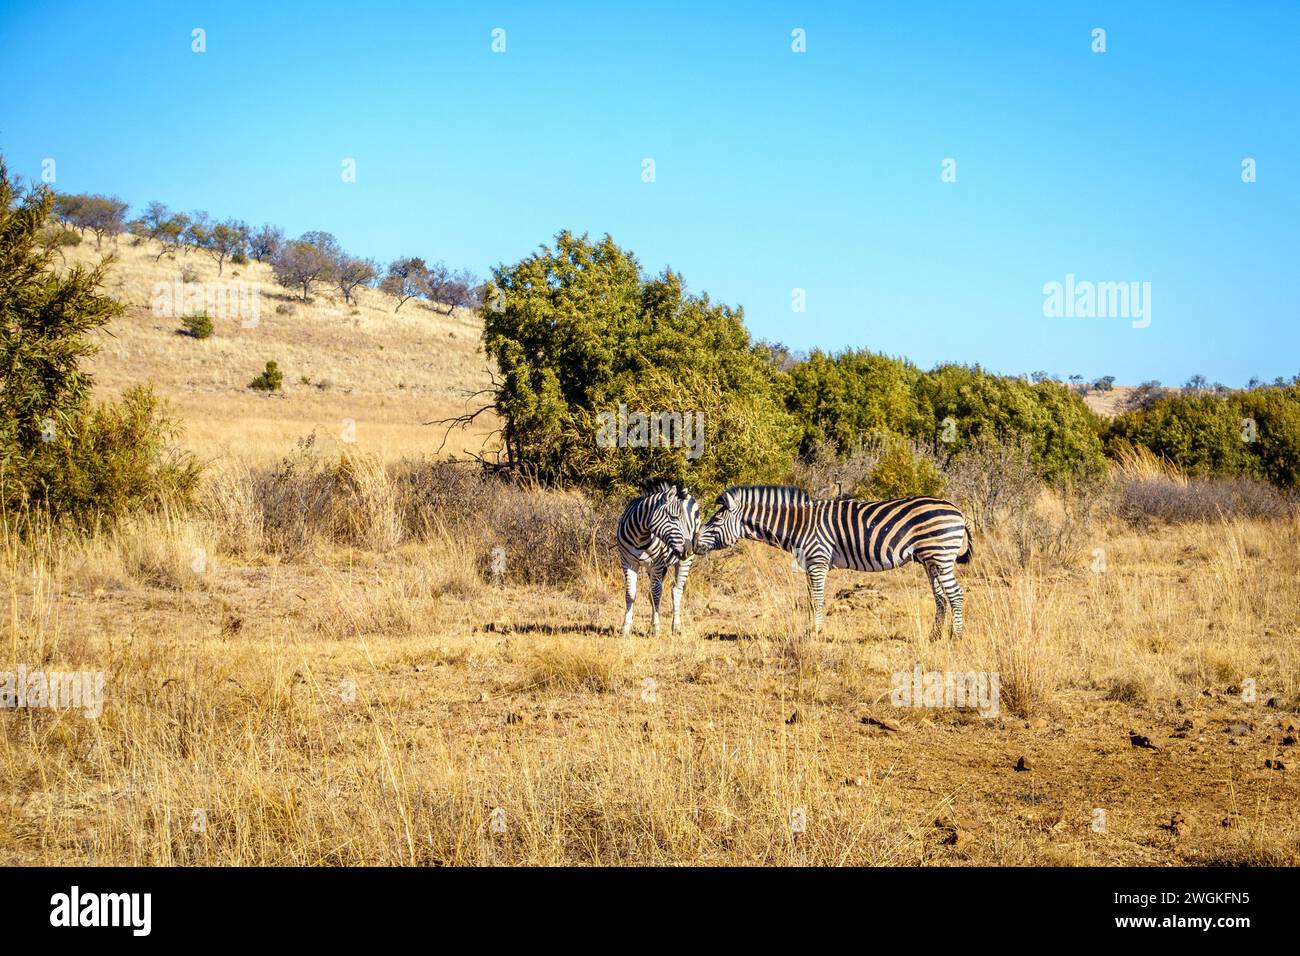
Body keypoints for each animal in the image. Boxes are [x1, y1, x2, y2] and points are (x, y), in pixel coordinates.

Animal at [616, 478, 702, 634]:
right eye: (674, 517)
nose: (688, 549)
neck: (640, 536)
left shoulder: (658, 562)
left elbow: (656, 594)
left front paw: (656, 628)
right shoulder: (627, 561)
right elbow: (631, 593)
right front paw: (625, 627)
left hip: (683, 561)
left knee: (676, 591)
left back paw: (676, 627)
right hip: (652, 567)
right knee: (654, 591)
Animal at [696, 489, 972, 639]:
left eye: (715, 521)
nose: (695, 543)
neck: (799, 524)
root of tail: (958, 510)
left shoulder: (817, 560)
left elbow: (817, 600)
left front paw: (814, 634)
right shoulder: (811, 563)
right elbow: (811, 599)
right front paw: (811, 630)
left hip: (941, 555)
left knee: (956, 595)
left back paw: (956, 637)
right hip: (930, 560)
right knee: (941, 597)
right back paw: (935, 636)